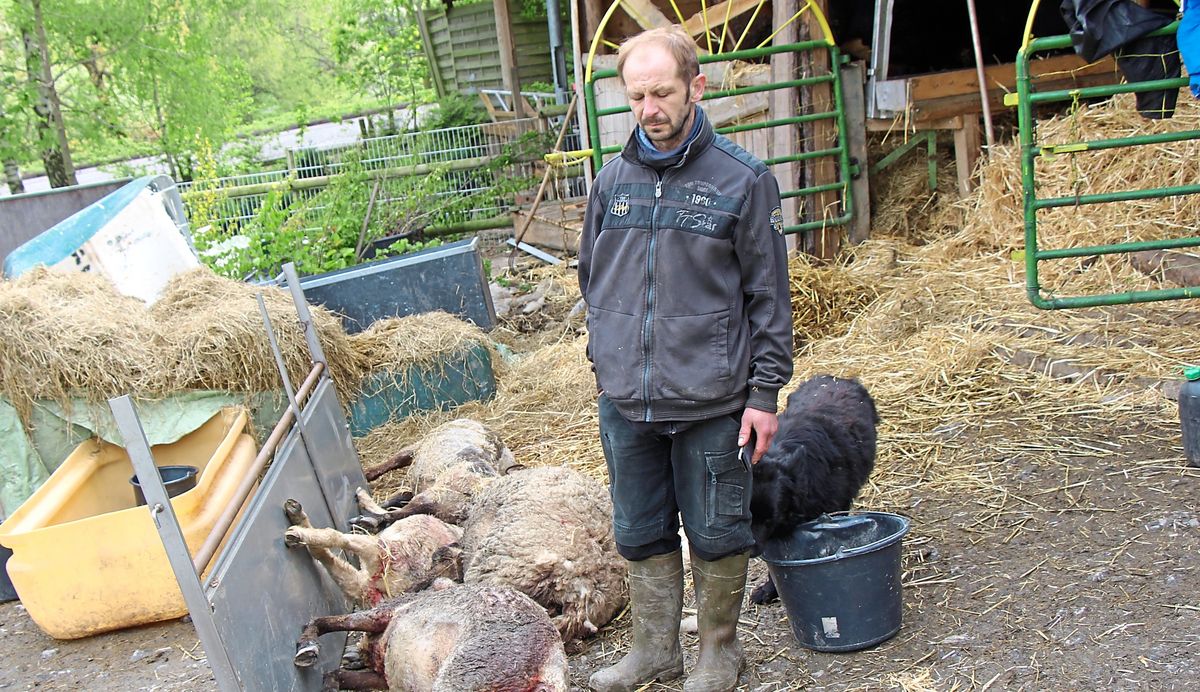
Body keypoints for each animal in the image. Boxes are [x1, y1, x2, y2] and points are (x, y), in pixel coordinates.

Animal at [284, 491, 463, 604]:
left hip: (378, 551)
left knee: (335, 539)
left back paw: (296, 532)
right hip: (359, 579)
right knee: (325, 556)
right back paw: (296, 515)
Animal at [294, 582, 566, 690]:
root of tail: (548, 665)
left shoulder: (385, 613)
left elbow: (328, 621)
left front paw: (306, 651)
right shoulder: (383, 678)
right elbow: (337, 674)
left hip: (463, 675)